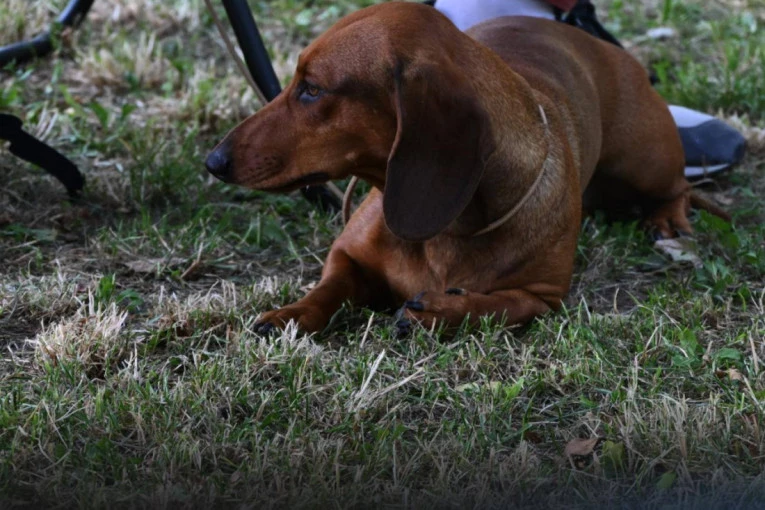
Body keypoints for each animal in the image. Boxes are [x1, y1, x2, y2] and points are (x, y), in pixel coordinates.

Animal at [205, 2, 728, 334]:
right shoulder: (346, 255)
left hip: (645, 162)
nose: (214, 161)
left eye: (312, 89)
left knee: (676, 186)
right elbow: (327, 287)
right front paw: (291, 314)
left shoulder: (543, 297)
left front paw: (441, 311)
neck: (449, 229)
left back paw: (667, 218)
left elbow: (498, 305)